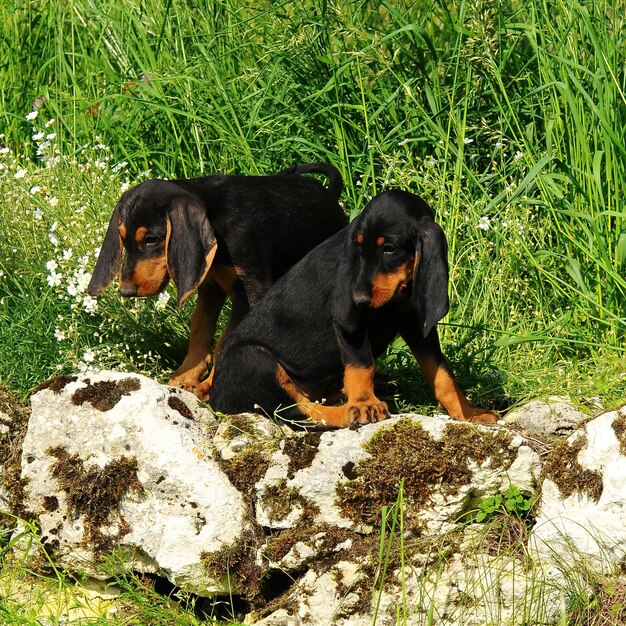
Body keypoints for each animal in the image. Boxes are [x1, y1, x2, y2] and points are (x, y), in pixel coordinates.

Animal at [85, 163, 346, 398]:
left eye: (151, 239)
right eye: (122, 238)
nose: (126, 292)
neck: (219, 225)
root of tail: (330, 193)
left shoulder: (252, 288)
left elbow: (226, 339)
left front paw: (209, 385)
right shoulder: (211, 286)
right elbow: (200, 328)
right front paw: (185, 375)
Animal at [210, 188, 498, 426]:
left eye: (389, 249)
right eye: (357, 247)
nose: (358, 298)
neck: (400, 293)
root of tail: (215, 400)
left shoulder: (416, 322)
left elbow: (442, 373)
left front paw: (468, 413)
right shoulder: (349, 320)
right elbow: (362, 363)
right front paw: (363, 403)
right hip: (252, 357)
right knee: (293, 412)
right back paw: (346, 412)